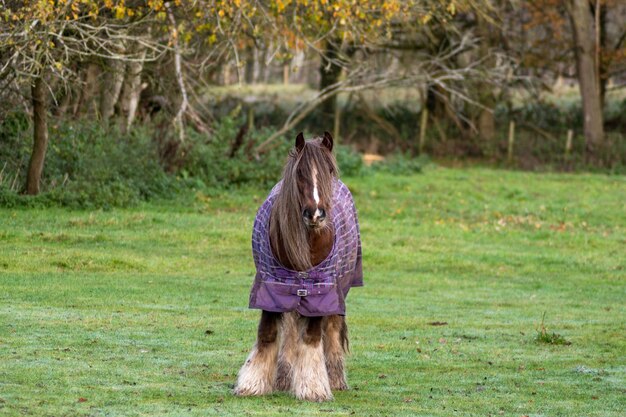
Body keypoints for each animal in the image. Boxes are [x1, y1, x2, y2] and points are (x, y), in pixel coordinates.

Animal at [233, 132, 360, 402]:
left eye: (329, 170)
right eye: (300, 172)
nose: (316, 215)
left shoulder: (320, 292)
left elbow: (312, 338)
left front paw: (313, 387)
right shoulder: (271, 288)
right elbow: (268, 334)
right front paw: (252, 384)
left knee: (331, 330)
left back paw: (335, 378)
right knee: (291, 330)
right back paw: (283, 376)